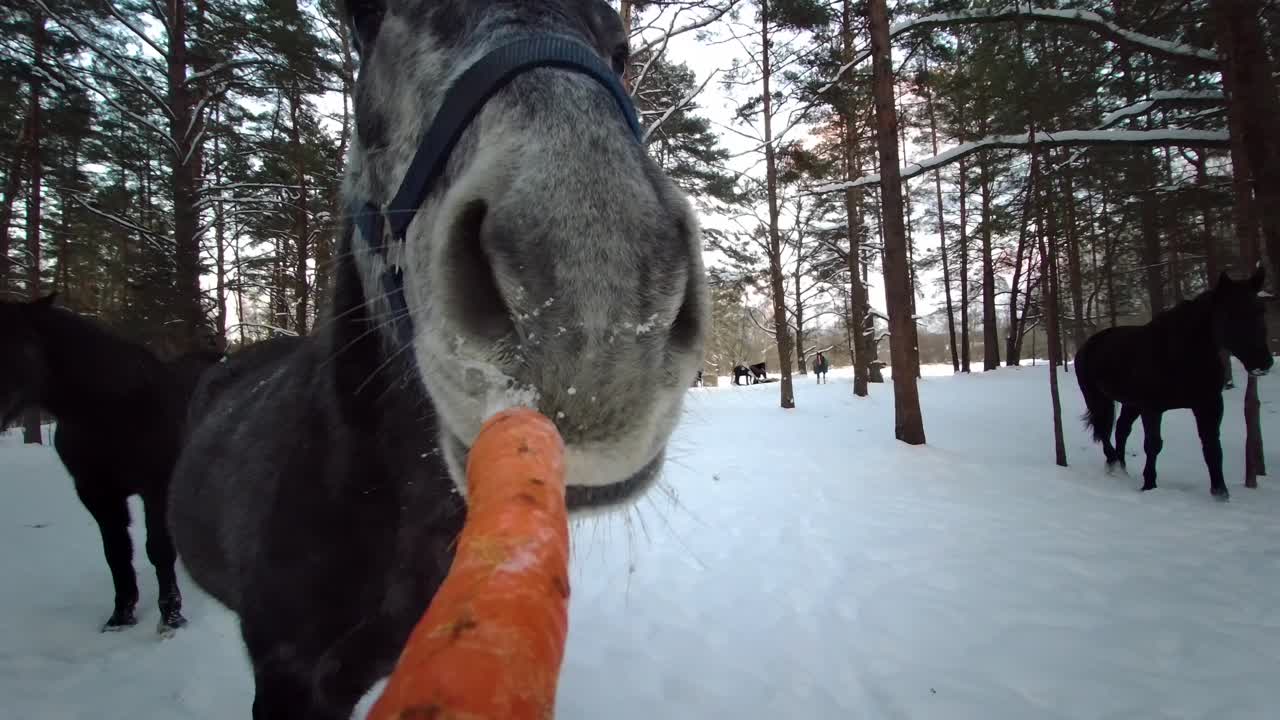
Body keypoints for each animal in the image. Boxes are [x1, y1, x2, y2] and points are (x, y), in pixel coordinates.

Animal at [0, 294, 224, 633]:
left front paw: (171, 617)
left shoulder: (156, 486)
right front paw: (121, 615)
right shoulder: (96, 493)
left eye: (18, 343)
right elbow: (117, 553)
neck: (111, 408)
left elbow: (158, 548)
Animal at [1075, 268, 1274, 499]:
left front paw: (1220, 492)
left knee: (1121, 429)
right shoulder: (1152, 408)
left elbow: (1212, 446)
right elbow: (1153, 445)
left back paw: (1122, 468)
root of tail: (1087, 345)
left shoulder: (1209, 404)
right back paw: (1114, 463)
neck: (1181, 353)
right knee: (1104, 430)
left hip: (1131, 403)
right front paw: (1149, 484)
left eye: (1261, 310)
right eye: (1231, 313)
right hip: (1096, 397)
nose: (1263, 363)